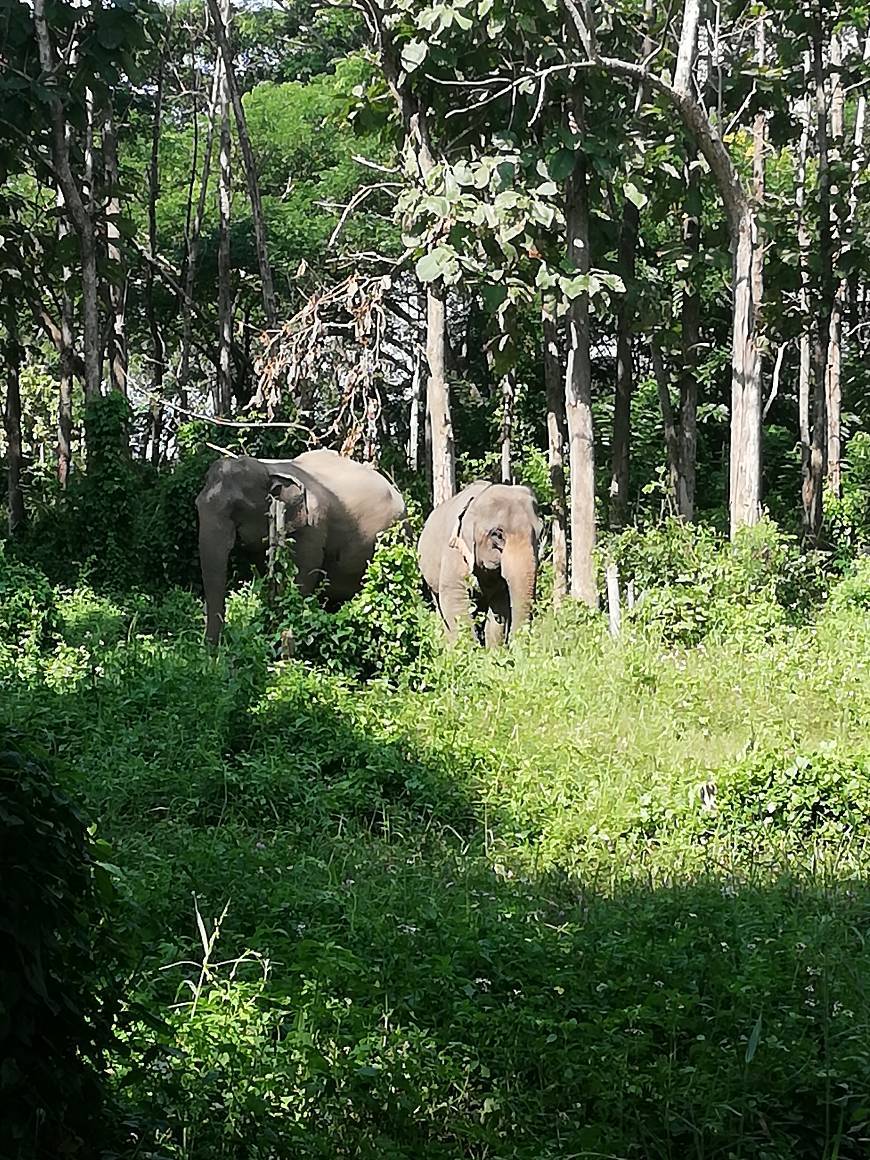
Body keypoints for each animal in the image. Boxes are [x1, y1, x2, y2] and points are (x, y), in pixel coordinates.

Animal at [196, 447, 408, 644]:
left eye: (238, 508)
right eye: (197, 505)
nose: (214, 649)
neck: (268, 467)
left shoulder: (312, 528)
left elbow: (299, 581)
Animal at [417, 477, 545, 649]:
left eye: (540, 532)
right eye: (497, 535)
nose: (514, 645)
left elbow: (499, 605)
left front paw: (494, 652)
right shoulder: (455, 553)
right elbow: (455, 600)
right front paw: (469, 652)